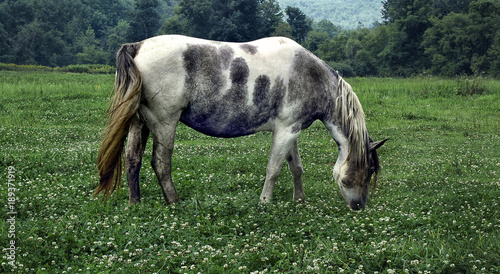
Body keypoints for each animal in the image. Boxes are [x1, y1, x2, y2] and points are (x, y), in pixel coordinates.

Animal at [95, 34, 388, 210]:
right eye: (370, 169)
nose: (359, 206)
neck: (311, 75)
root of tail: (138, 47)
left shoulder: (291, 130)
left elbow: (296, 168)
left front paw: (299, 200)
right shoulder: (285, 131)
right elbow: (274, 169)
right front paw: (265, 201)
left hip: (140, 122)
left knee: (133, 159)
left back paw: (135, 202)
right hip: (164, 122)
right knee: (160, 163)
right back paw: (174, 201)